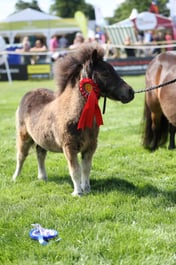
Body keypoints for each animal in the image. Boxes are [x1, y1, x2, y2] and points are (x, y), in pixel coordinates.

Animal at [12, 43, 133, 195]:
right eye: (105, 72)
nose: (130, 92)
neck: (75, 114)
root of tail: (29, 93)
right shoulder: (69, 147)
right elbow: (75, 170)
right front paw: (77, 192)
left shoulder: (90, 146)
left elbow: (86, 169)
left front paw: (87, 189)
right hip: (24, 136)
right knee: (21, 156)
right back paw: (15, 177)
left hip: (41, 138)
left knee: (40, 154)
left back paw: (43, 177)